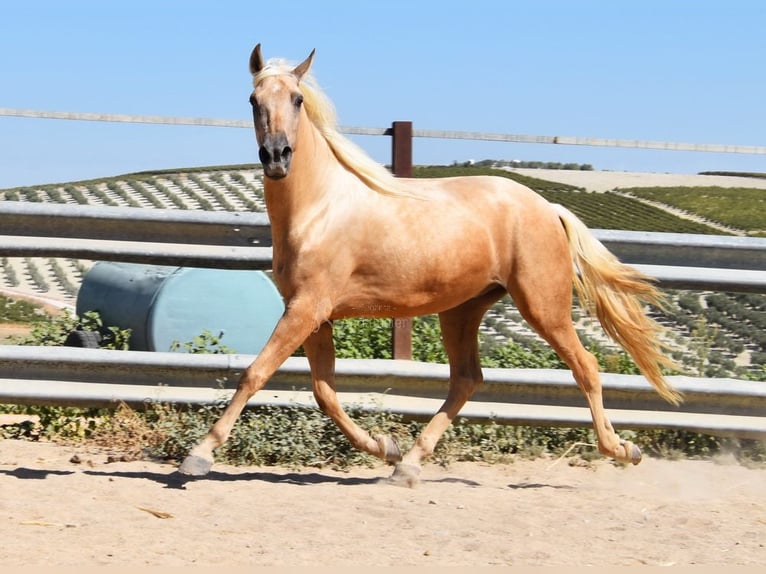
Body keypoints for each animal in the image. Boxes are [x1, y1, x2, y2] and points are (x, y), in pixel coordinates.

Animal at [177, 42, 680, 488]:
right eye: (254, 100)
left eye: (297, 99)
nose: (277, 156)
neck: (319, 208)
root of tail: (548, 207)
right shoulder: (315, 315)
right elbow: (325, 392)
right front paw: (385, 447)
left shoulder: (305, 309)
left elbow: (256, 373)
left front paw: (198, 456)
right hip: (462, 310)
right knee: (467, 380)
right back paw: (408, 465)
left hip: (543, 305)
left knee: (585, 367)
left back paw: (623, 450)